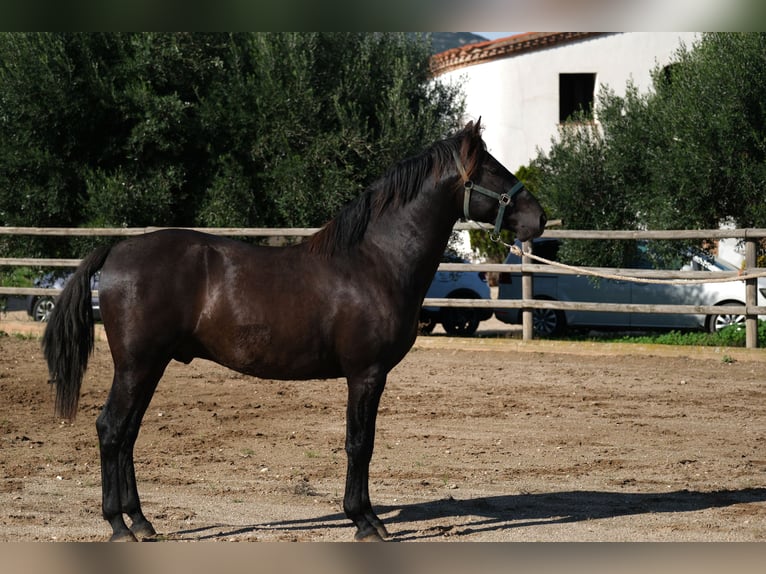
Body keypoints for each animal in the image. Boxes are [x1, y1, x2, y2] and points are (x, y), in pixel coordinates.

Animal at [43, 119, 544, 544]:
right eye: (494, 169)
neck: (375, 261)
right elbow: (359, 443)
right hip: (137, 365)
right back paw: (118, 525)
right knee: (112, 429)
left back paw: (141, 521)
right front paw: (365, 521)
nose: (538, 218)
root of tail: (117, 250)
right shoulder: (366, 374)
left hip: (150, 366)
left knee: (127, 433)